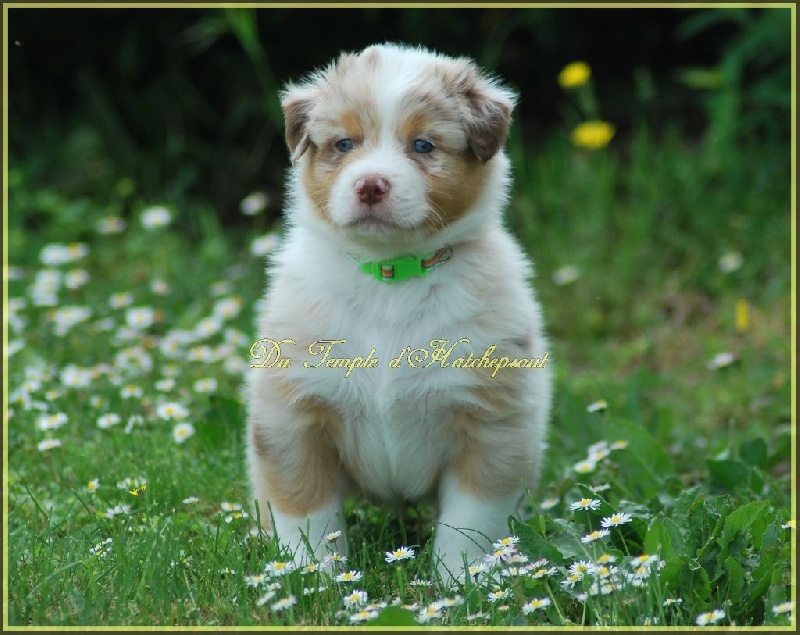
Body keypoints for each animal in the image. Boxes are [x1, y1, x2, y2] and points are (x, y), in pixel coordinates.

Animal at [246, 43, 551, 584]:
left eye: (423, 146)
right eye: (344, 143)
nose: (371, 185)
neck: (391, 276)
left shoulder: (491, 424)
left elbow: (470, 524)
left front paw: (461, 584)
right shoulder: (294, 416)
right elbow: (307, 512)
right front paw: (312, 579)